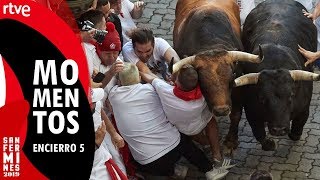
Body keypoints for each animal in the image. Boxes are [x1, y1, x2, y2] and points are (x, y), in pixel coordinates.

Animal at [222, 0, 320, 153]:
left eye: (291, 96)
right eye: (262, 98)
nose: (279, 129)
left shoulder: (304, 108)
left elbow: (297, 129)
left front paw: (294, 134)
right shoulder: (251, 111)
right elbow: (259, 133)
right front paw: (269, 143)